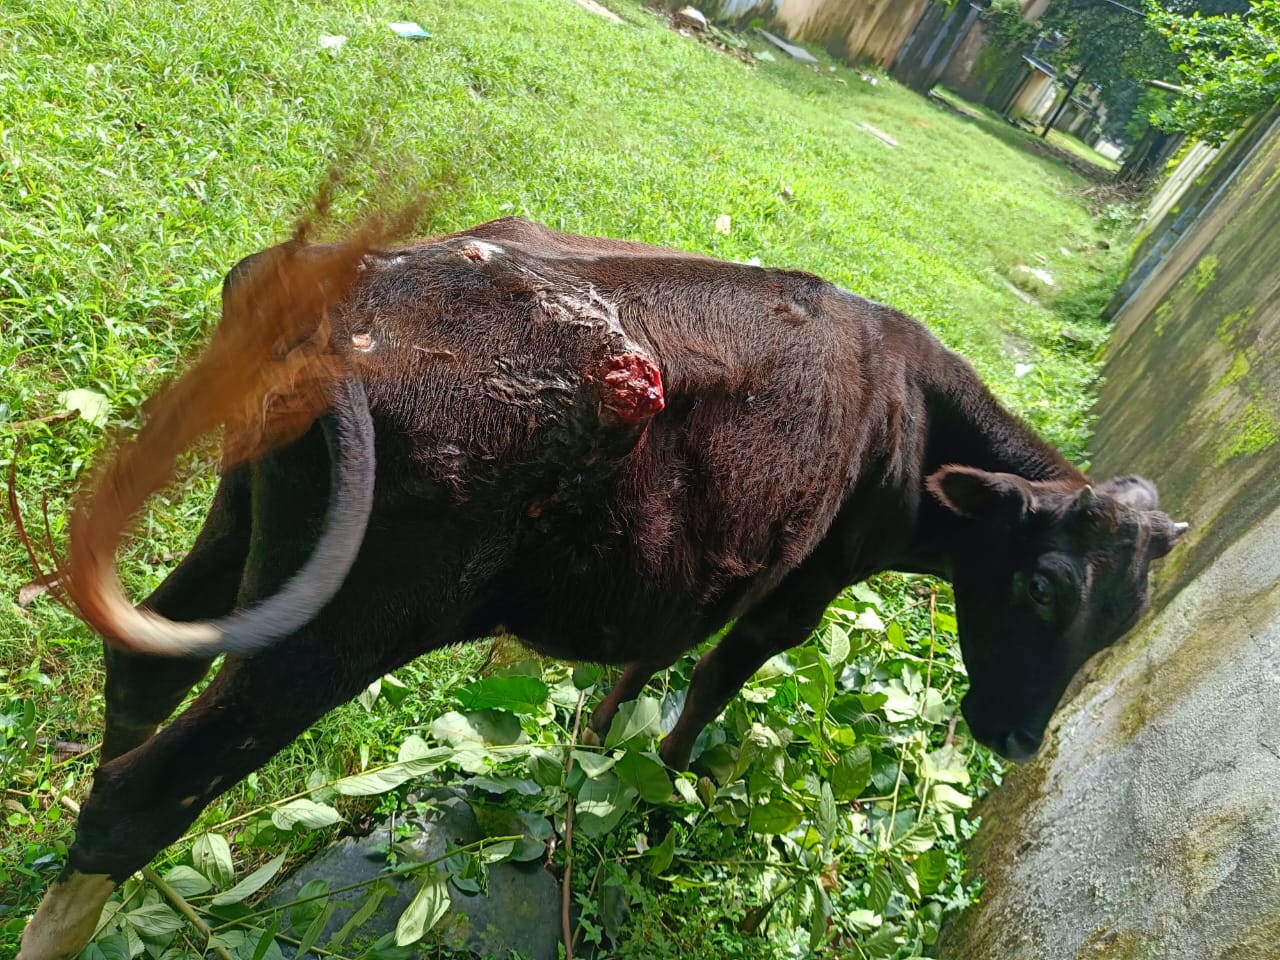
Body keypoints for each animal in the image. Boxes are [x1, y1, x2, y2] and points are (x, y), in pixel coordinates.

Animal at [19, 217, 1186, 960]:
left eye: (1125, 621)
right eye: (1042, 587)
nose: (1014, 737)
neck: (910, 413)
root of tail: (347, 290)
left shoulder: (713, 569)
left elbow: (649, 660)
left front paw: (594, 754)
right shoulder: (794, 594)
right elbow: (706, 688)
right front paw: (658, 800)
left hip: (244, 522)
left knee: (141, 671)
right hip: (348, 619)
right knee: (141, 798)